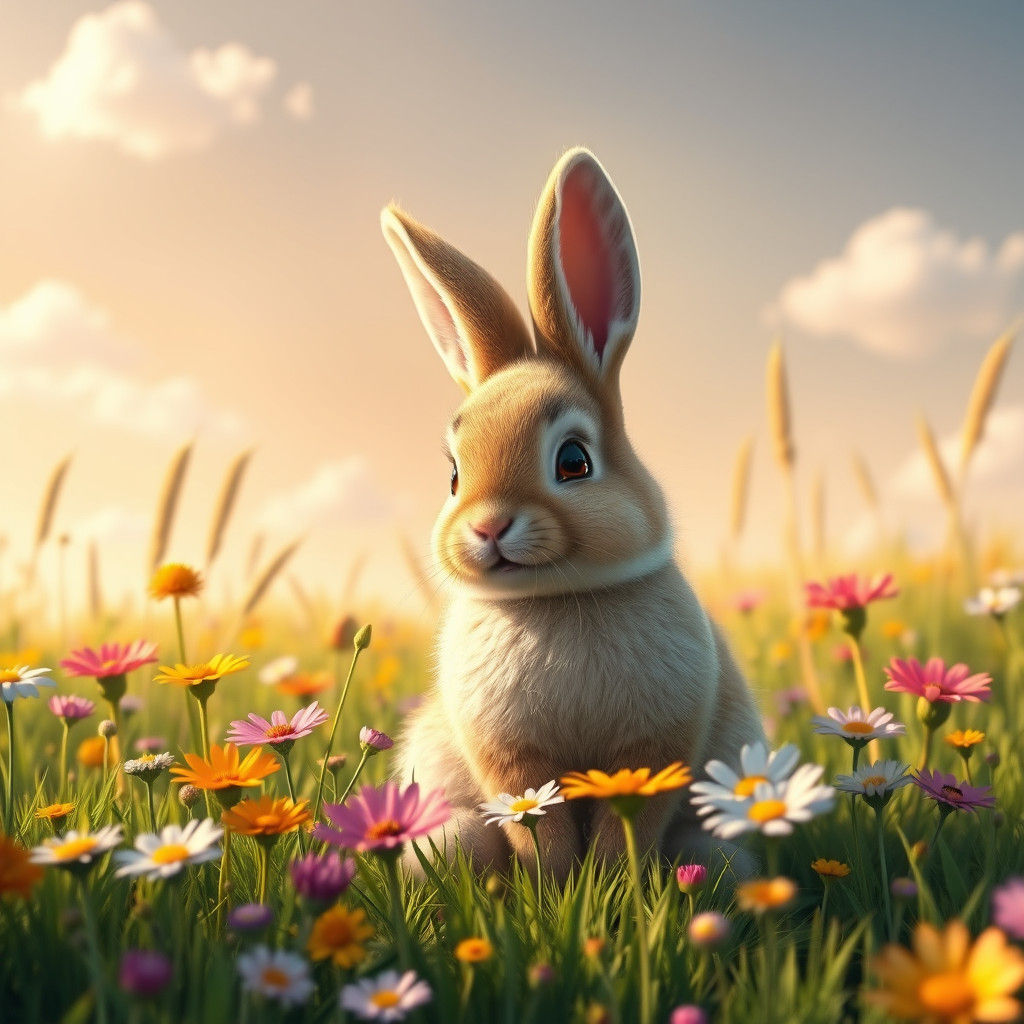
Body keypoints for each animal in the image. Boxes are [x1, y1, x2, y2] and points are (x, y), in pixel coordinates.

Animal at [380, 147, 765, 881]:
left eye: (574, 461)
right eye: (453, 475)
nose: (487, 527)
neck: (554, 598)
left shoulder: (652, 752)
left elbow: (627, 825)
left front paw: (610, 884)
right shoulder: (512, 762)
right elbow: (537, 825)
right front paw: (555, 886)